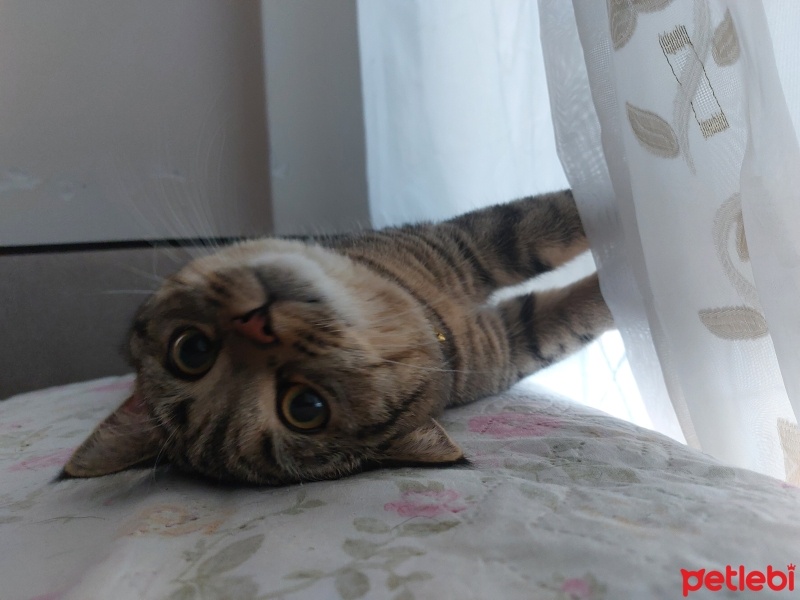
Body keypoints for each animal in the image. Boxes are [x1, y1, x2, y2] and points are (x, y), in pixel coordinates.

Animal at [64, 190, 612, 486]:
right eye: (306, 408)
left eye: (190, 351)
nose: (254, 323)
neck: (423, 314)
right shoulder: (510, 331)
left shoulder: (470, 260)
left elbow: (549, 227)